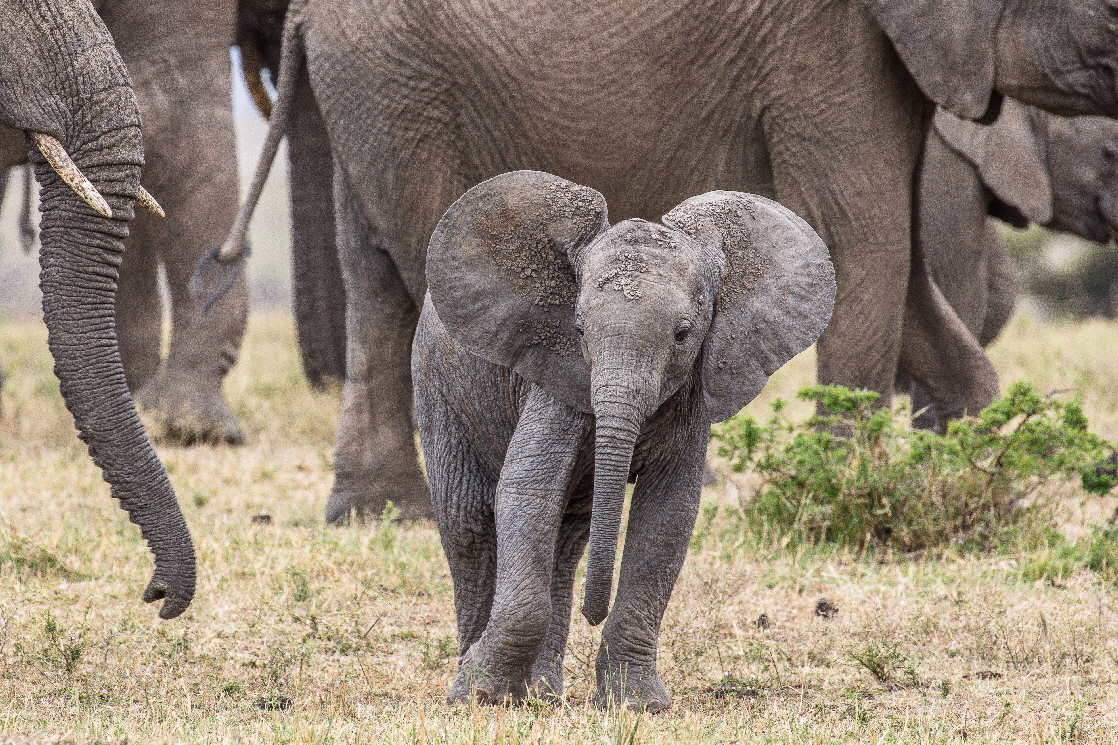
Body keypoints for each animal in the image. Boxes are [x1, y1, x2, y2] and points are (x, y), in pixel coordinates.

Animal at [226, 0, 1118, 521]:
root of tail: (306, 13)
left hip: (379, 99)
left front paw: (994, 482)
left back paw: (378, 514)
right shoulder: (825, 46)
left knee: (374, 278)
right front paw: (844, 497)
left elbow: (894, 271)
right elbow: (862, 242)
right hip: (404, 91)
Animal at [415, 170, 836, 706]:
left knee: (567, 539)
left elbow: (667, 516)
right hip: (437, 385)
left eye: (683, 334)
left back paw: (543, 694)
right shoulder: (555, 380)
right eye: (578, 329)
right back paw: (477, 684)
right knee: (468, 522)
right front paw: (481, 696)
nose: (593, 612)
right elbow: (527, 491)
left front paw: (636, 703)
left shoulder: (690, 400)